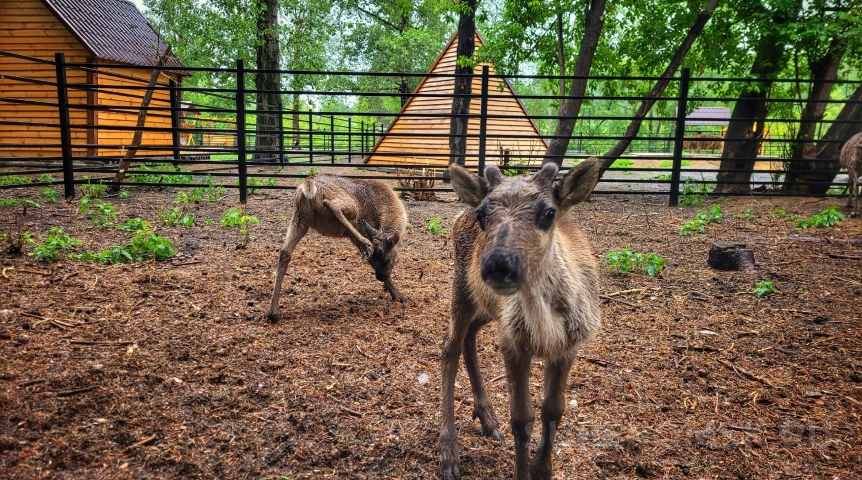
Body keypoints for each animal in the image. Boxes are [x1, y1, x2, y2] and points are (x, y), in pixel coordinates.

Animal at [266, 174, 407, 322]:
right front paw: (398, 295)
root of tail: (309, 182)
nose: (380, 277)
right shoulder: (361, 227)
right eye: (387, 260)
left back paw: (273, 311)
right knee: (332, 205)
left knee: (284, 252)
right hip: (347, 206)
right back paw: (366, 244)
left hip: (300, 218)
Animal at [438, 158, 602, 480]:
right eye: (483, 214)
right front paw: (525, 470)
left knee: (469, 336)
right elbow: (522, 419)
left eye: (549, 212)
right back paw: (449, 451)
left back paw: (487, 418)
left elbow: (554, 410)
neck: (546, 330)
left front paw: (543, 468)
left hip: (490, 309)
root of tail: (459, 213)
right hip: (462, 288)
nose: (498, 264)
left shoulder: (568, 346)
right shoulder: (514, 344)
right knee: (450, 347)